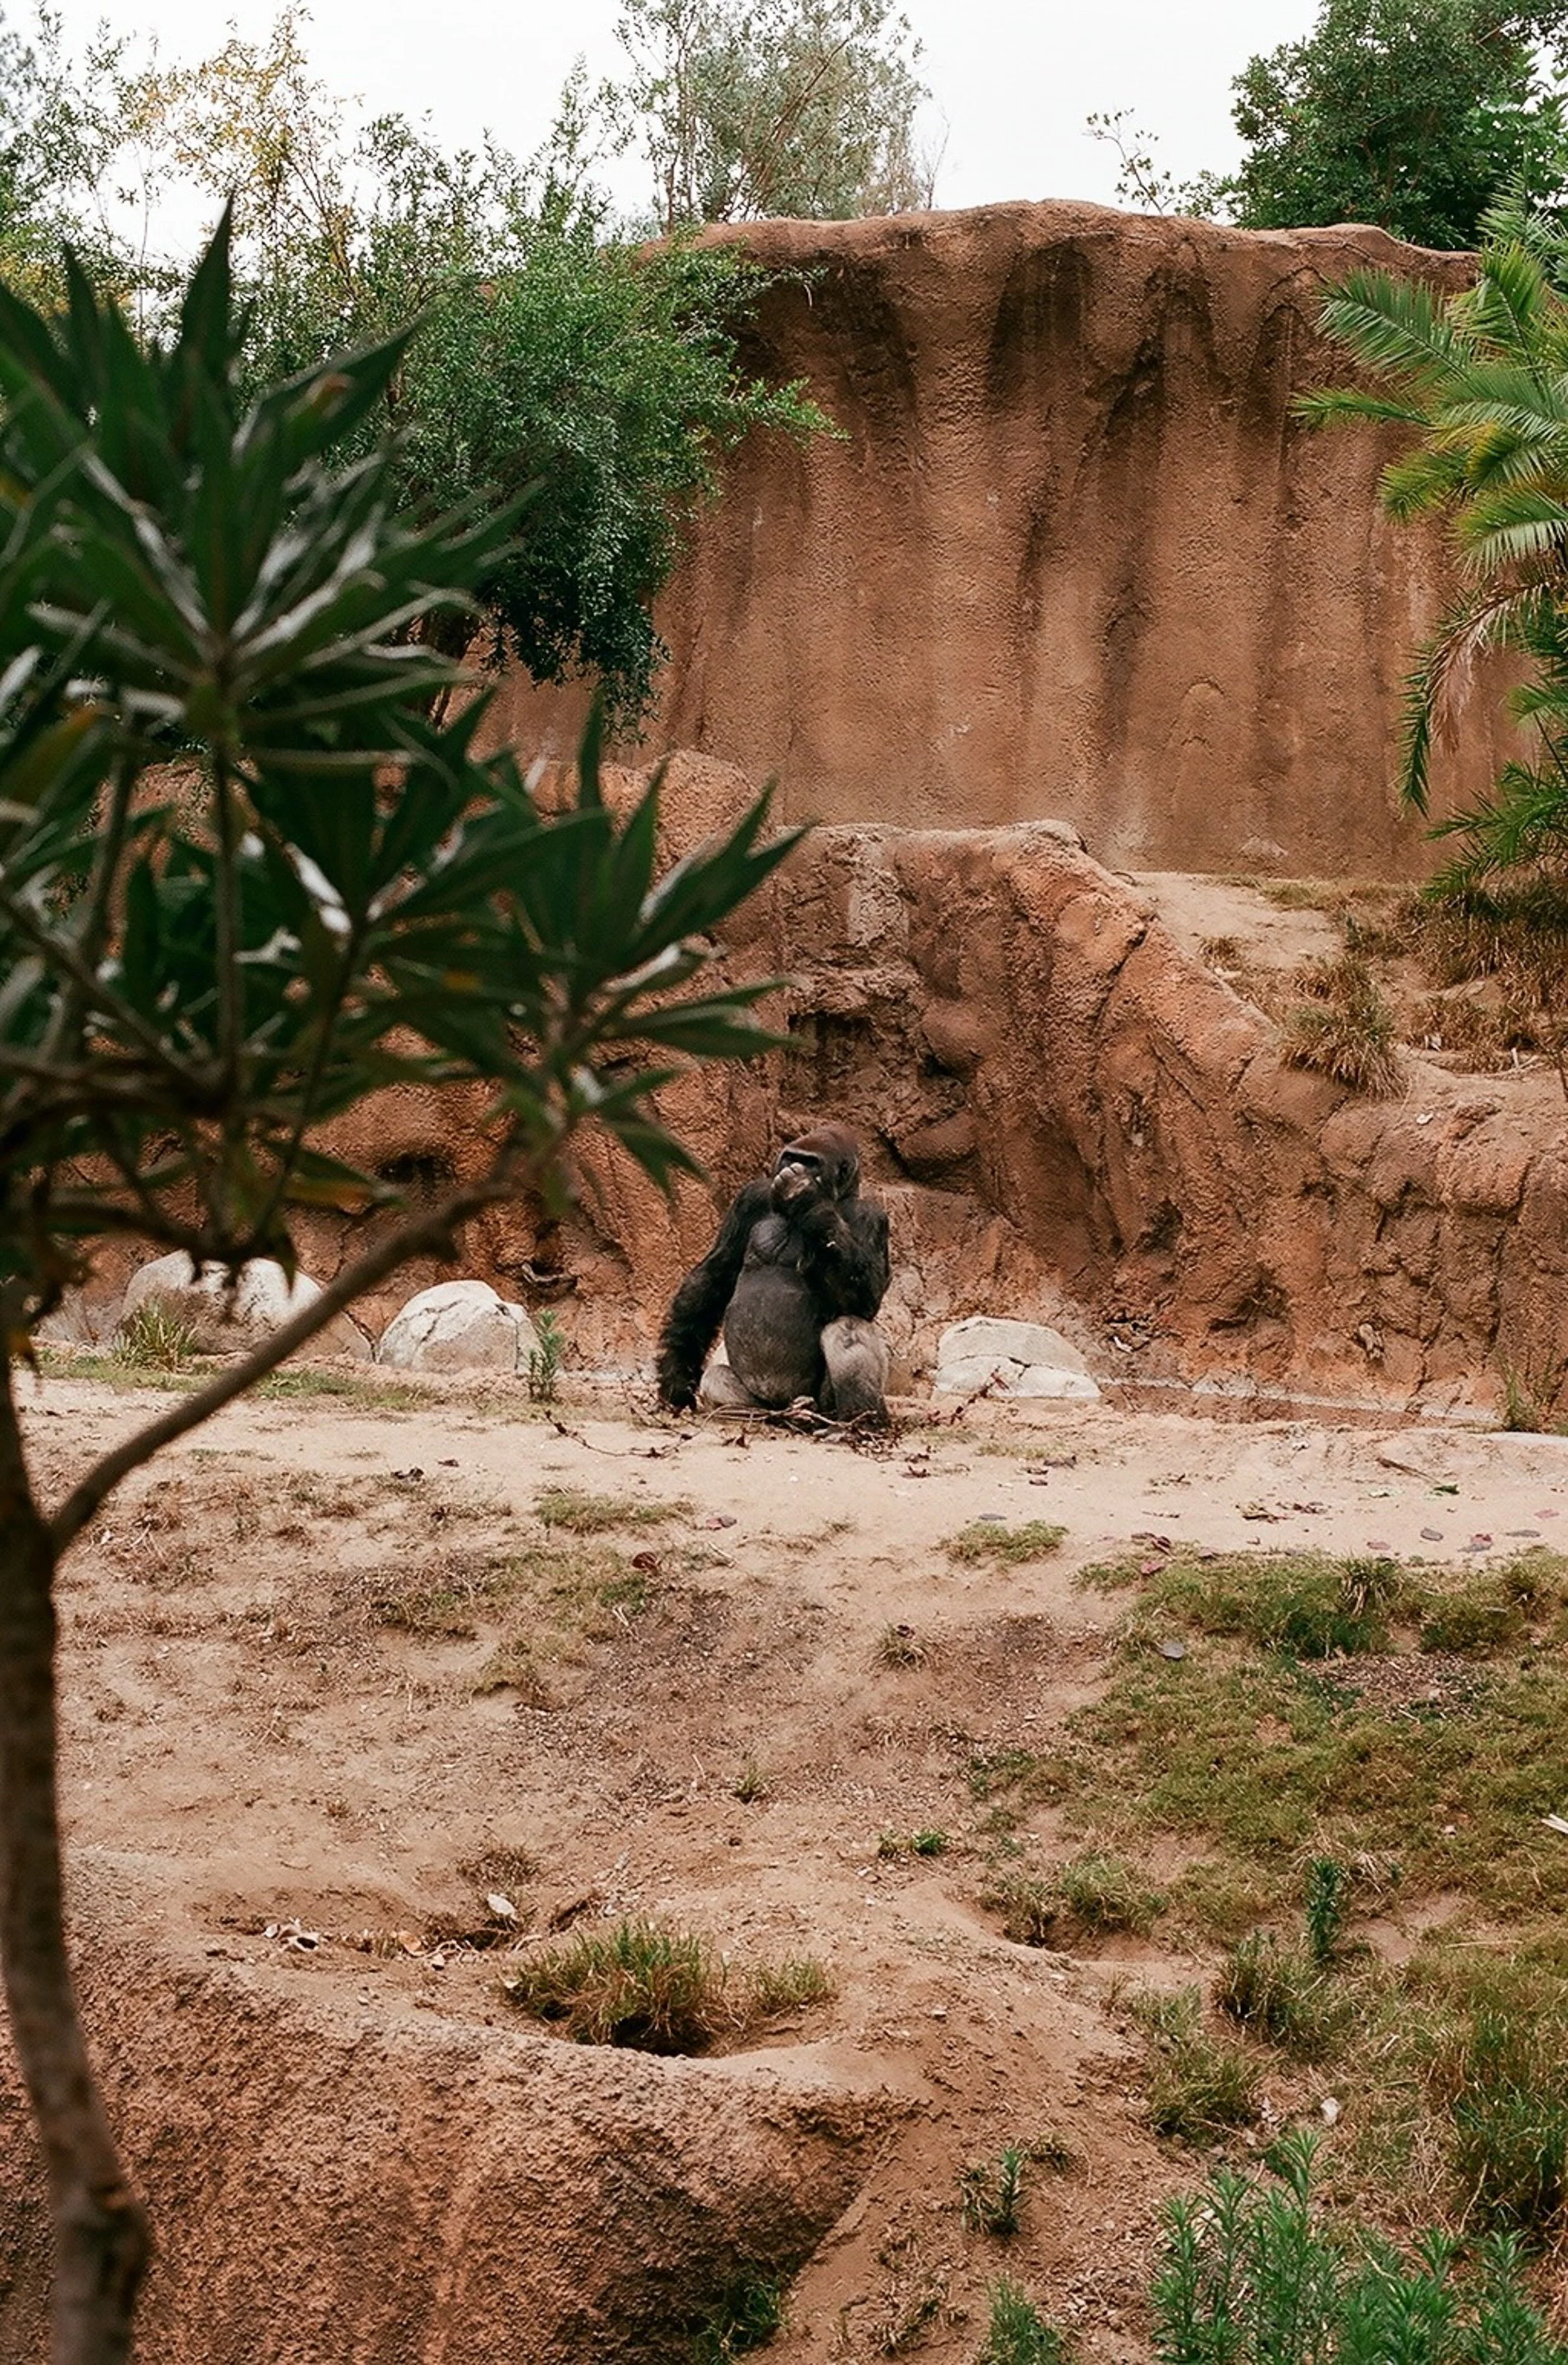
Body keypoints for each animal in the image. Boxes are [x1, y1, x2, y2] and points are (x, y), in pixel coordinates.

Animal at [656, 1123, 891, 1422]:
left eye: (811, 1163)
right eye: (791, 1157)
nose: (790, 1169)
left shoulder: (872, 1217)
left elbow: (864, 1300)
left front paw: (804, 1196)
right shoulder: (751, 1197)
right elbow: (714, 1278)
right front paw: (676, 1373)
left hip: (824, 1405)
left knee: (848, 1328)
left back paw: (858, 1422)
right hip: (766, 1403)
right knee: (717, 1379)